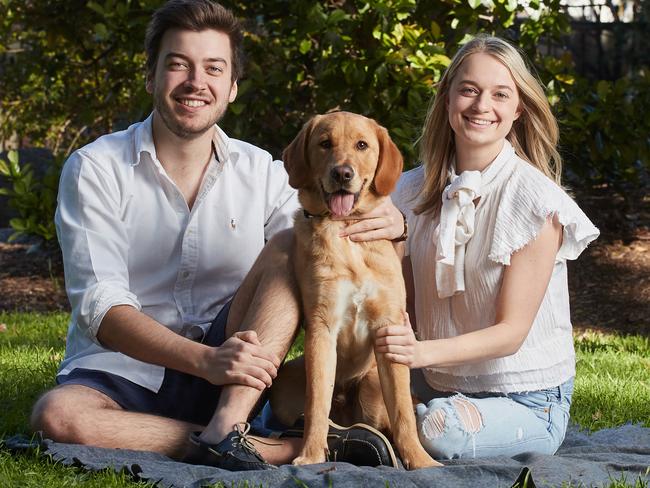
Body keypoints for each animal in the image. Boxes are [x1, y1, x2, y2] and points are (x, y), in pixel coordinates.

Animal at [270, 110, 438, 468]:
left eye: (362, 145)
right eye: (324, 143)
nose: (342, 173)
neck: (346, 232)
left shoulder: (389, 329)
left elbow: (403, 413)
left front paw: (420, 461)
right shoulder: (322, 327)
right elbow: (317, 402)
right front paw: (310, 455)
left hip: (372, 386)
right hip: (285, 386)